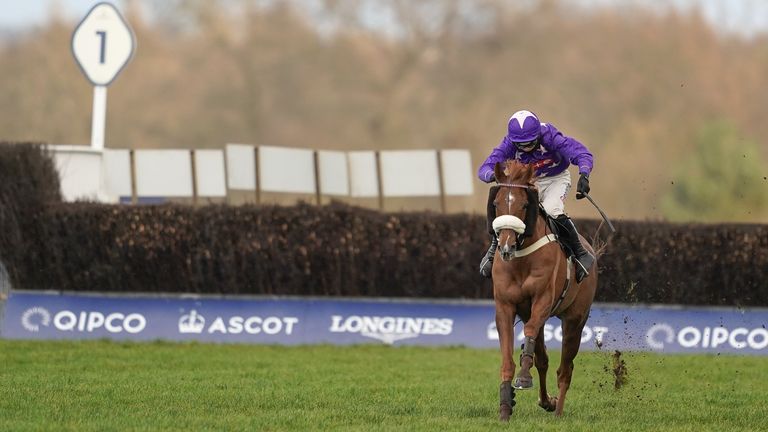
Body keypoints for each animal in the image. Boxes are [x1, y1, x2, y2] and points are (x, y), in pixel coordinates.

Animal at [488, 159, 596, 418]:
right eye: (496, 203)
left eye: (524, 204)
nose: (505, 247)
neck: (521, 260)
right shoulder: (505, 307)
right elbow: (509, 359)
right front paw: (505, 405)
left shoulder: (543, 301)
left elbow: (528, 335)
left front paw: (523, 378)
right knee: (544, 360)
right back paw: (548, 402)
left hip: (575, 320)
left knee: (565, 368)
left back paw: (558, 411)